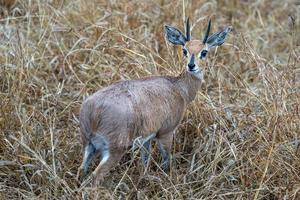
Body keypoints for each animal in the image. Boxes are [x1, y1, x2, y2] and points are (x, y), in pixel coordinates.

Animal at [76, 18, 231, 184]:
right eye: (184, 50)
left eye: (204, 52)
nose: (191, 65)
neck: (179, 88)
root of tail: (93, 109)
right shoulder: (166, 133)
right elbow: (167, 160)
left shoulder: (146, 138)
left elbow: (145, 160)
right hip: (115, 149)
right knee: (95, 176)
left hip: (89, 145)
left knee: (81, 171)